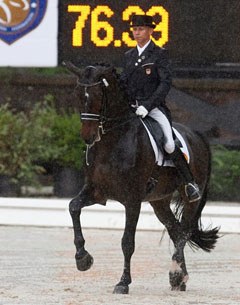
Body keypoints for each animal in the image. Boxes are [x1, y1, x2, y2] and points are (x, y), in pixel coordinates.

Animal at [64, 60, 219, 292]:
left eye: (99, 95)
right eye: (77, 95)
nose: (88, 137)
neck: (113, 141)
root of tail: (197, 135)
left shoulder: (132, 200)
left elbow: (127, 242)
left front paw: (123, 283)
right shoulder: (96, 192)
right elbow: (73, 207)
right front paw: (83, 259)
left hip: (191, 196)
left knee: (183, 231)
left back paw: (176, 272)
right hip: (159, 201)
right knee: (175, 231)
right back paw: (179, 279)